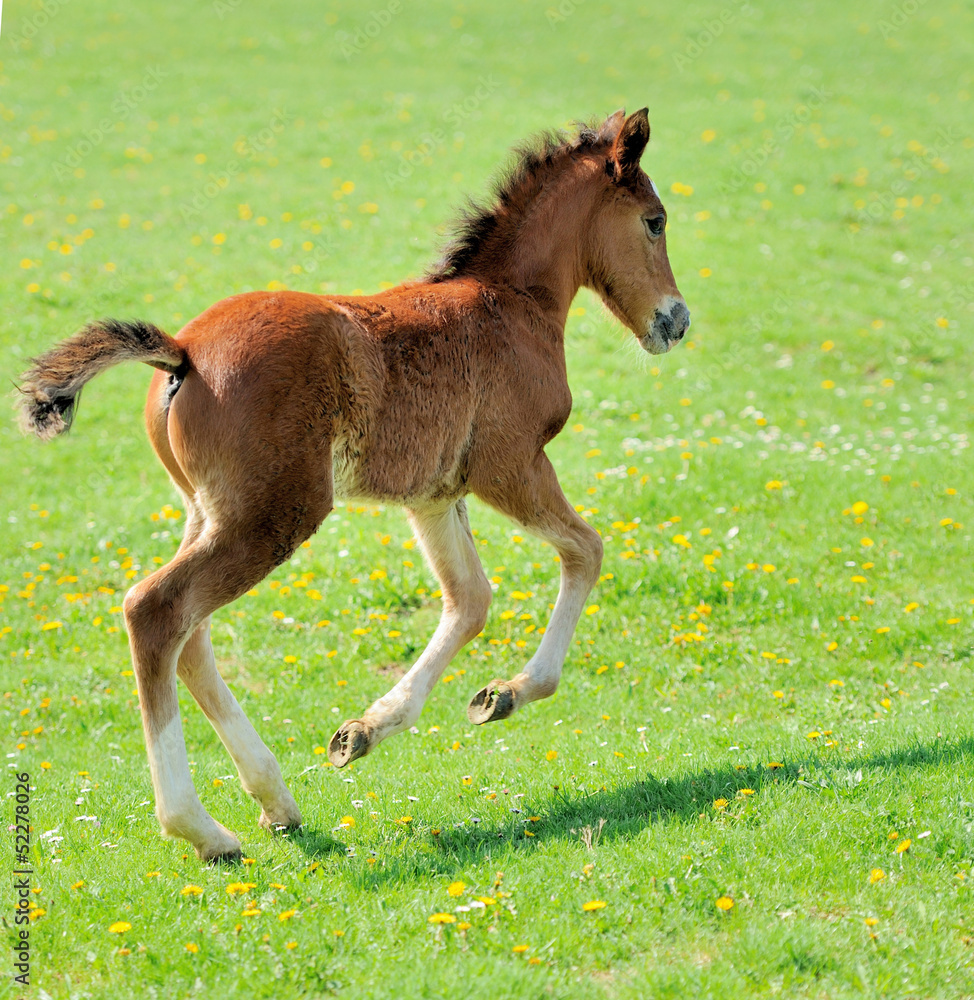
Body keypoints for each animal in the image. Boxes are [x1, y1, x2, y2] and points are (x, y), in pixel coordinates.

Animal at [17, 108, 690, 861]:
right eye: (655, 221)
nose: (675, 320)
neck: (512, 303)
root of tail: (182, 353)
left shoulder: (434, 495)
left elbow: (471, 600)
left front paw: (366, 732)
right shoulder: (510, 465)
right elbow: (585, 551)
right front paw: (513, 691)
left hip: (210, 511)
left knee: (191, 634)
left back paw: (275, 800)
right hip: (273, 515)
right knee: (158, 611)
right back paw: (201, 828)